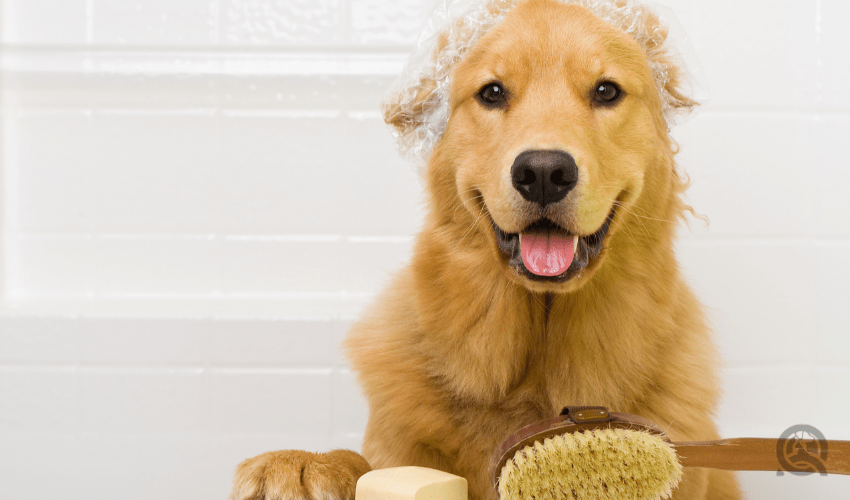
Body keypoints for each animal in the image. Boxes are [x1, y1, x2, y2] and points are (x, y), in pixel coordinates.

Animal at [229, 0, 740, 498]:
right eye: (492, 93)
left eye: (607, 91)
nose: (543, 172)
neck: (537, 366)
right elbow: (367, 463)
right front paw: (304, 464)